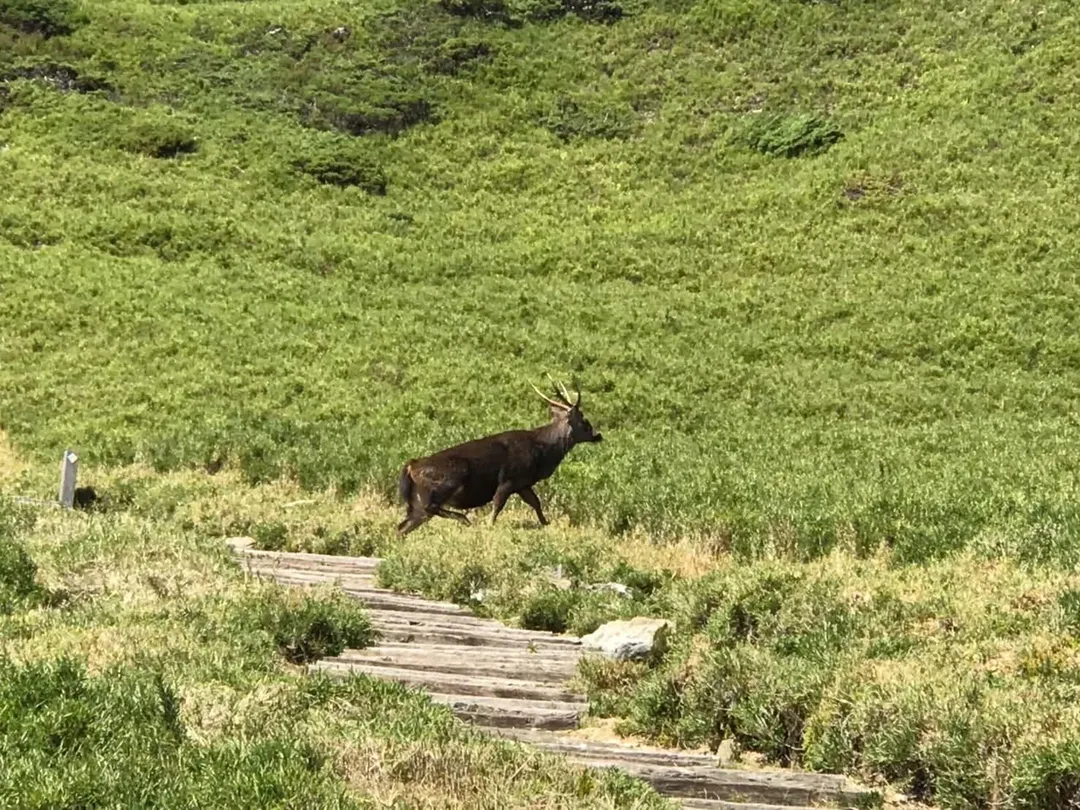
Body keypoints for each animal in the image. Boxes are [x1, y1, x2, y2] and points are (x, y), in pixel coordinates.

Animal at [395, 379, 603, 536]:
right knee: (429, 508)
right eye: (583, 420)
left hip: (417, 500)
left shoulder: (523, 483)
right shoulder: (509, 479)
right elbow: (497, 505)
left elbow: (536, 503)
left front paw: (547, 524)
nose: (597, 435)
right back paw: (464, 519)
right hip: (449, 479)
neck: (542, 453)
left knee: (403, 526)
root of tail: (411, 467)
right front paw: (489, 526)